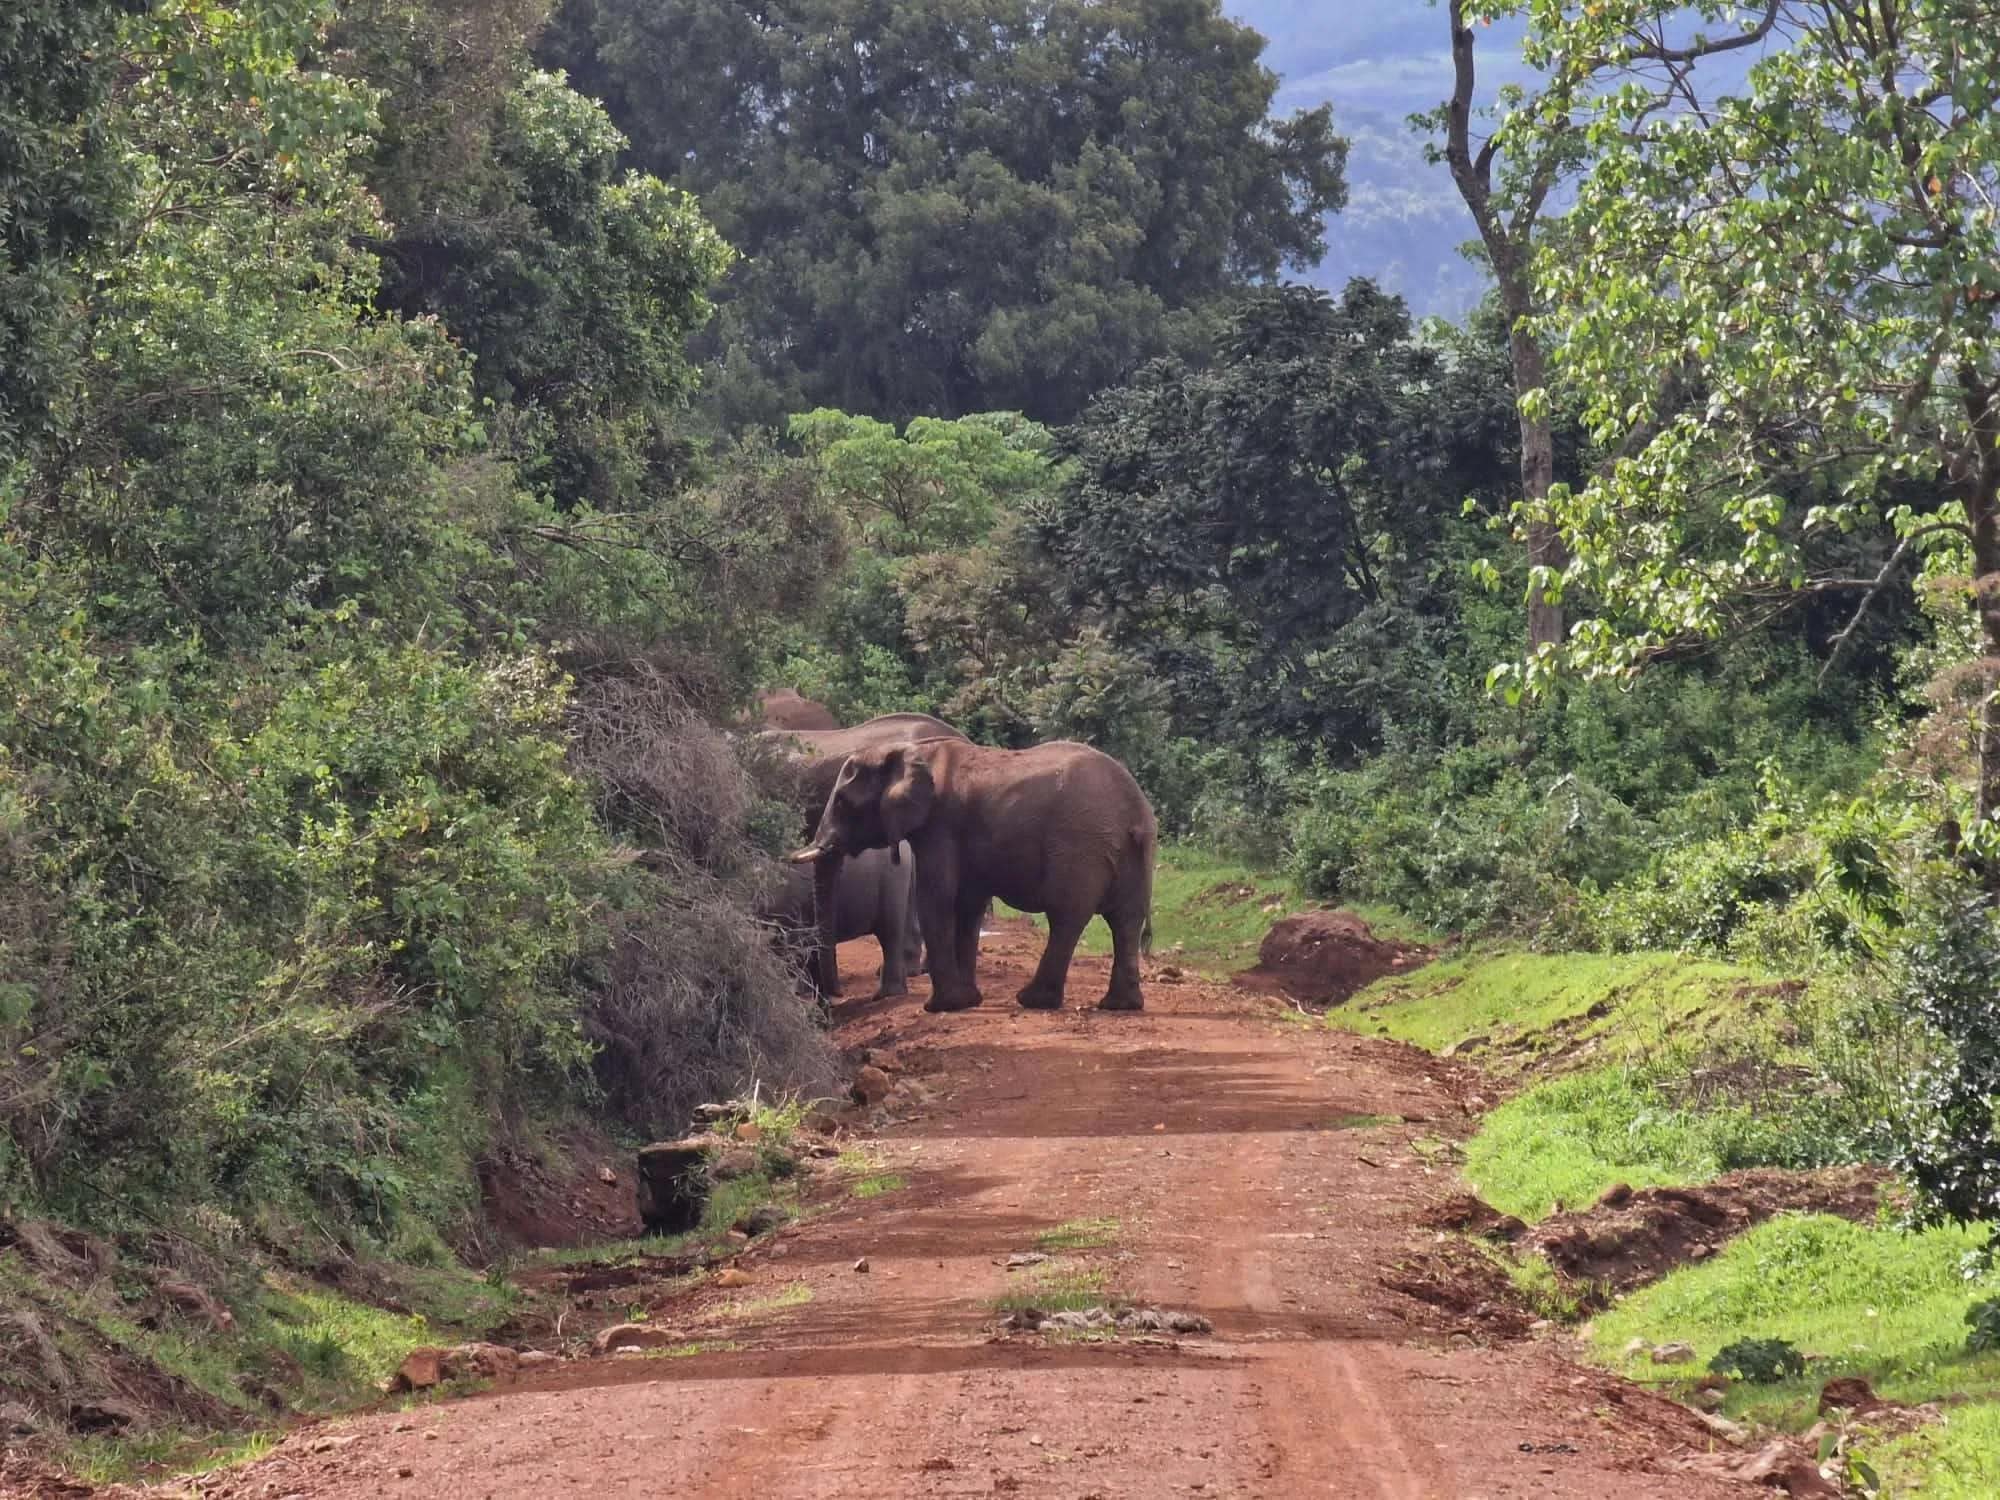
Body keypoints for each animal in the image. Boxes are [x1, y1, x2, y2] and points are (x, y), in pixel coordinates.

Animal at [784, 744, 1152, 1024]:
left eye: (843, 802)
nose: (835, 996)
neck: (907, 752)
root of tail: (1137, 812)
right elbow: (967, 904)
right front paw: (968, 1000)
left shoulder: (939, 825)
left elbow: (936, 897)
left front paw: (941, 1006)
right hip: (1130, 855)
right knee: (1126, 921)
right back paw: (1120, 1005)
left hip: (1080, 847)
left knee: (1066, 917)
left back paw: (1033, 1000)